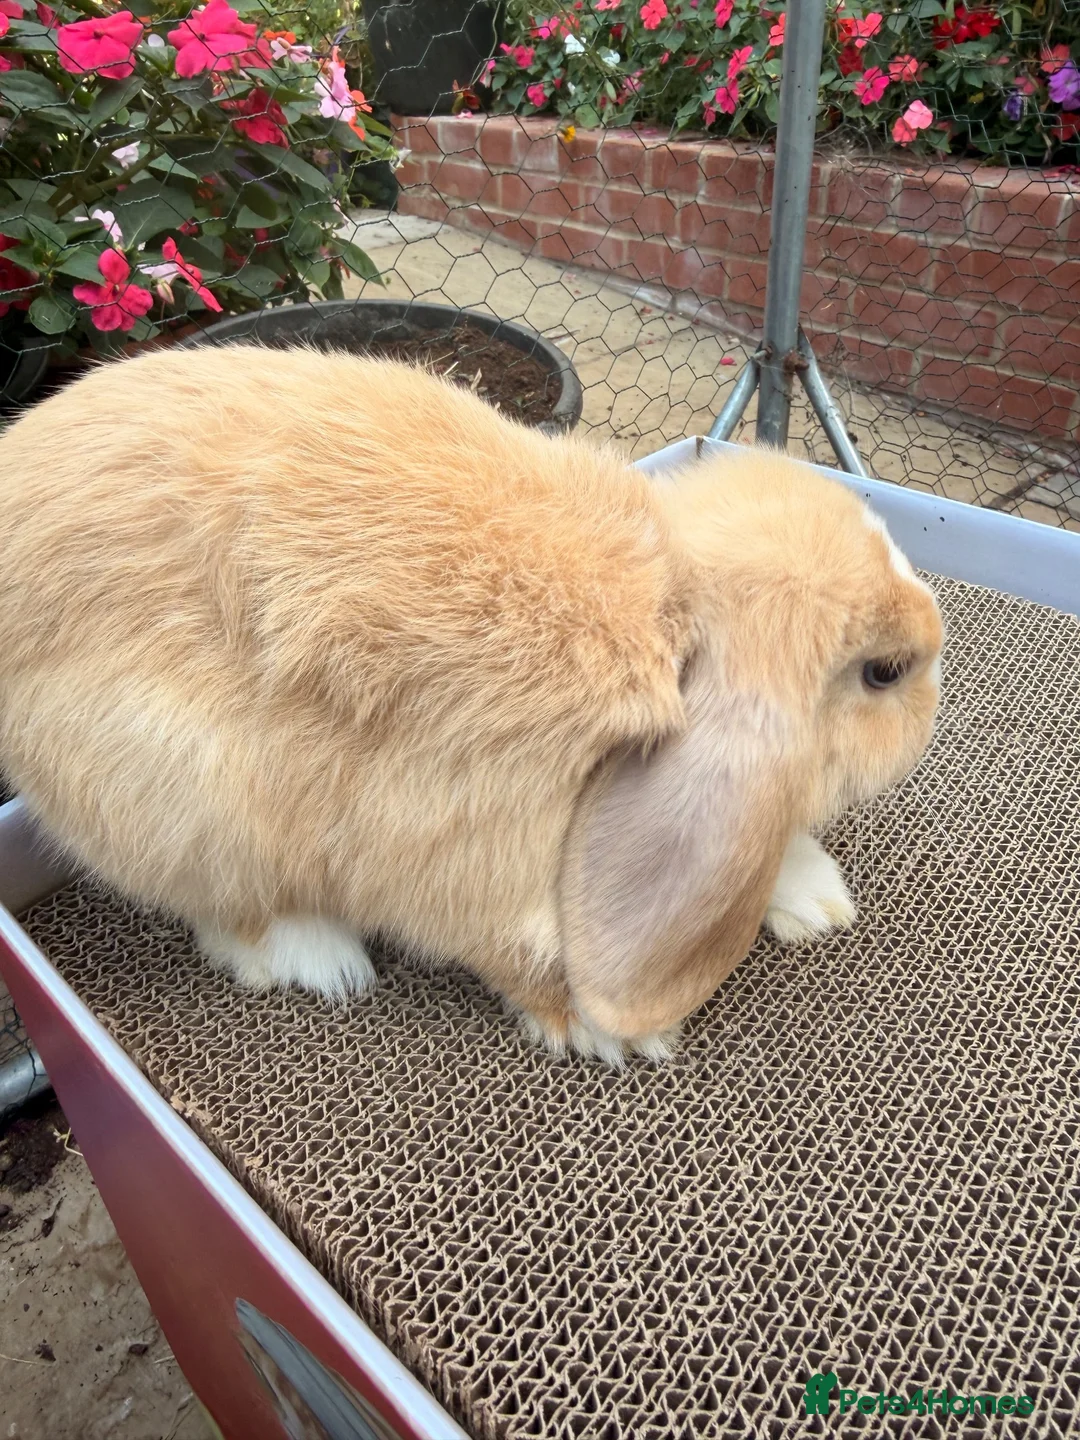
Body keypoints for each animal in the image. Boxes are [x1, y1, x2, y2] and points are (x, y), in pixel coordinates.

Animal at [0, 344, 943, 1066]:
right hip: (180, 791)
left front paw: (815, 899)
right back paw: (322, 959)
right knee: (227, 911)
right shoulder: (454, 840)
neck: (664, 613)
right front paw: (612, 1032)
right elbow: (516, 949)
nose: (937, 688)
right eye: (885, 672)